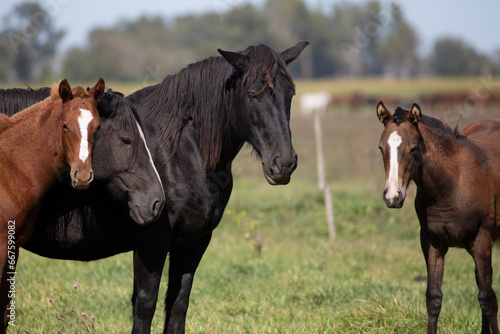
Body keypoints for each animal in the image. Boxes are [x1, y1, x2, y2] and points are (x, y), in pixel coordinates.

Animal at [0, 77, 104, 332]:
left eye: (97, 127)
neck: (11, 168)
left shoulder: (13, 247)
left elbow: (4, 313)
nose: (82, 176)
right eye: (65, 125)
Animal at [21, 43, 306, 332]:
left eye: (290, 94)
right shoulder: (152, 242)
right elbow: (145, 306)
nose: (284, 163)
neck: (179, 152)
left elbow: (178, 305)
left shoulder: (194, 242)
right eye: (251, 94)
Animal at [376, 102, 500, 334]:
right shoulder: (431, 241)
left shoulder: (482, 239)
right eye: (381, 148)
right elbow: (433, 298)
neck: (452, 184)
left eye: (413, 148)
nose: (393, 197)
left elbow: (488, 298)